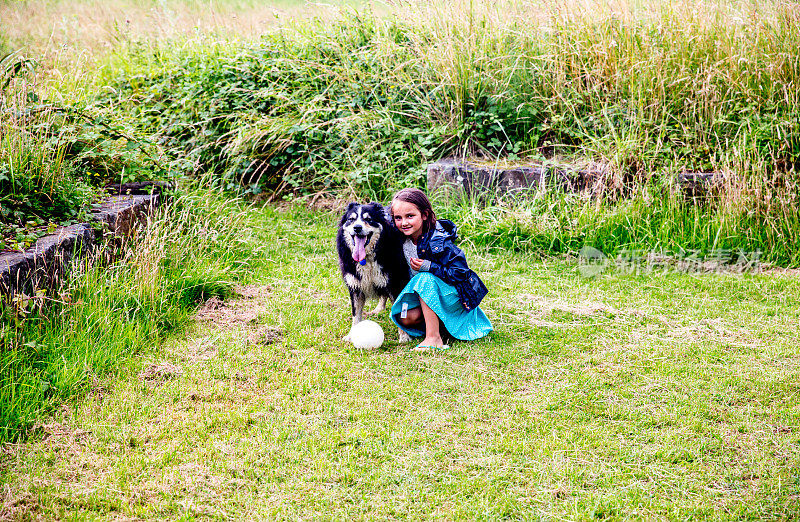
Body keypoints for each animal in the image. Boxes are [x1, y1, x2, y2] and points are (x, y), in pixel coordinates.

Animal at [338, 200, 412, 342]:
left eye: (368, 219)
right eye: (351, 219)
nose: (357, 228)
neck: (367, 258)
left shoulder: (394, 282)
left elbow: (399, 312)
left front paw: (404, 336)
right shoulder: (355, 286)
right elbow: (356, 314)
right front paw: (351, 335)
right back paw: (378, 309)